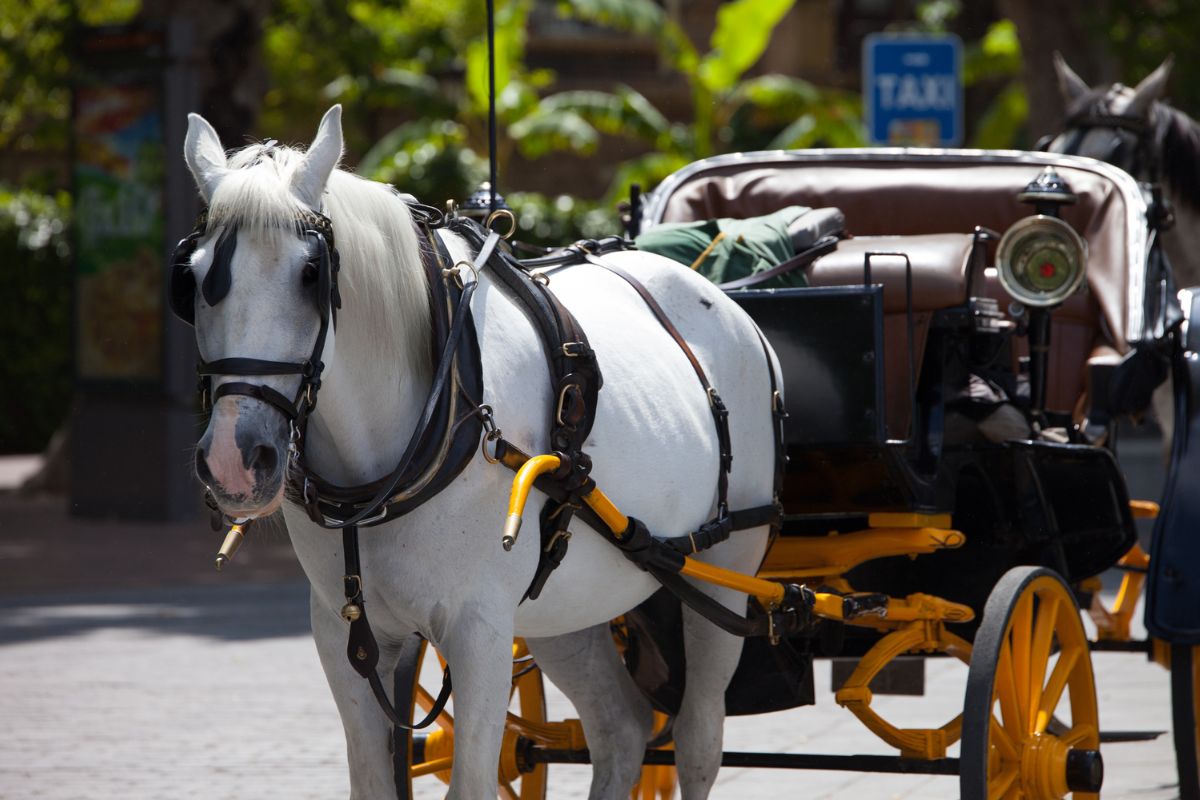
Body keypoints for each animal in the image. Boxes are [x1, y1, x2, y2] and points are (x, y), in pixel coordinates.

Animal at [175, 103, 777, 796]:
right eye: (192, 279)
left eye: (310, 274)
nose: (234, 460)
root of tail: (730, 305)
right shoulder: (342, 631)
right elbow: (373, 780)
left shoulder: (479, 630)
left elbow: (472, 781)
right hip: (566, 603)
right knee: (621, 729)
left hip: (727, 568)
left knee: (698, 741)